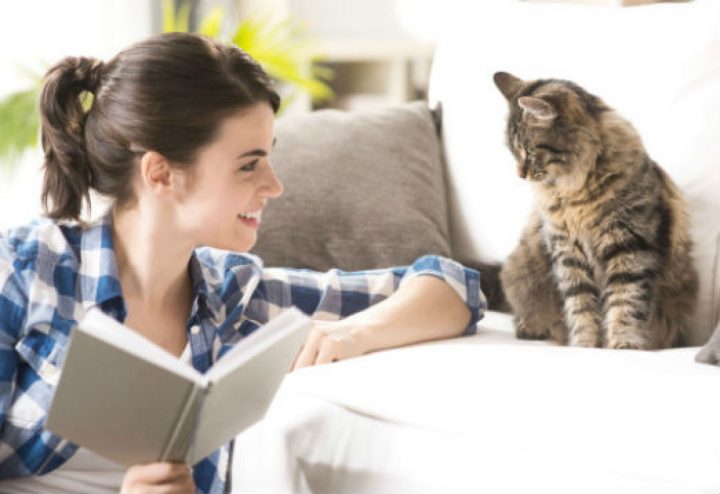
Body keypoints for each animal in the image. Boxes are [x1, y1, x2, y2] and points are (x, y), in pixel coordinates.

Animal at [496, 71, 696, 350]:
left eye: (529, 151)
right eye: (513, 152)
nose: (520, 174)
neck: (575, 193)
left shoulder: (629, 244)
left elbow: (625, 302)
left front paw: (623, 344)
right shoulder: (567, 251)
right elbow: (580, 304)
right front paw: (585, 344)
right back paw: (528, 328)